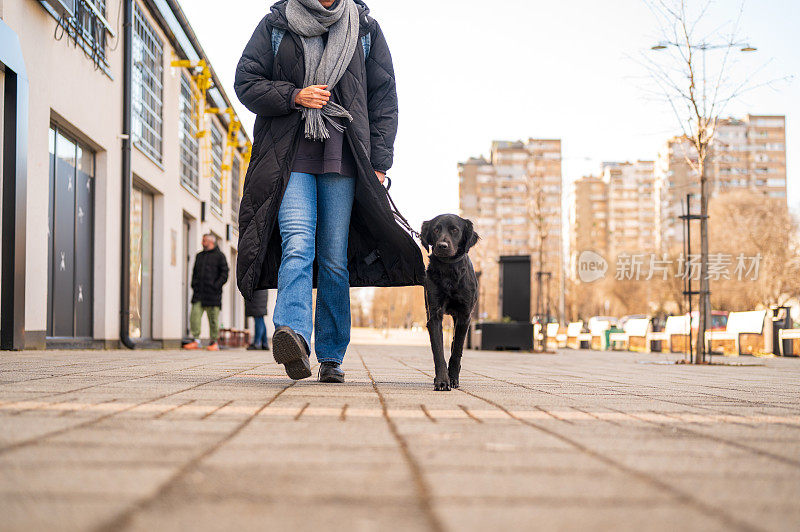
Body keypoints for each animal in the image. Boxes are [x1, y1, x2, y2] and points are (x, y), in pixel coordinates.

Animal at [422, 212, 478, 390]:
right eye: (435, 229)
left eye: (454, 229)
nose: (442, 245)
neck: (448, 270)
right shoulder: (434, 314)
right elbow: (438, 350)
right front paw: (441, 380)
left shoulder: (464, 316)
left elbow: (457, 351)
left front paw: (452, 379)